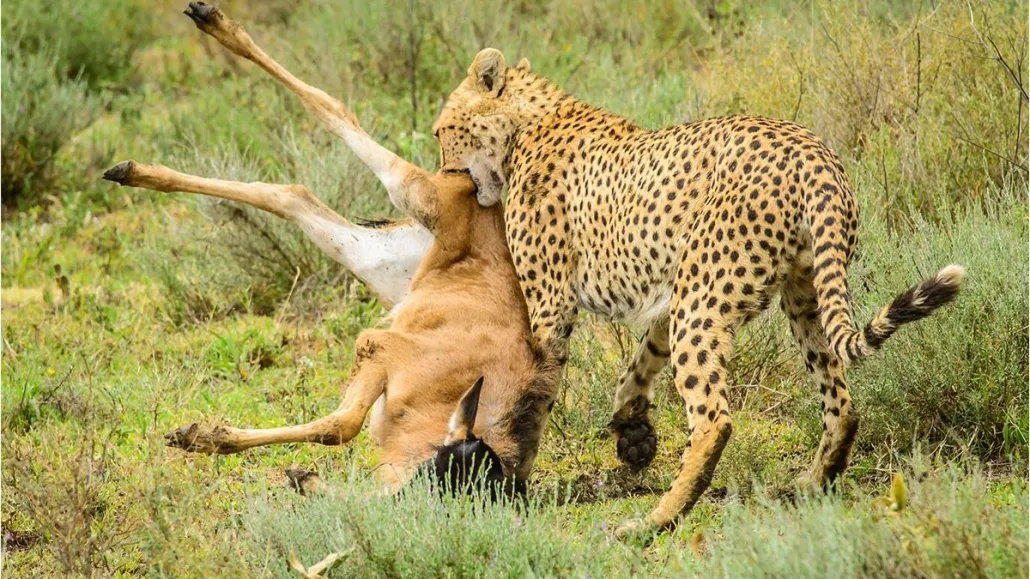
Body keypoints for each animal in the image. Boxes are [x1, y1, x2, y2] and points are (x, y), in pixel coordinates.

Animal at [103, 3, 556, 490]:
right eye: (442, 466)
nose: (396, 498)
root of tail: (473, 186)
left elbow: (340, 425)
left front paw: (209, 439)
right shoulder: (378, 345)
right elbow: (340, 424)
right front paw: (204, 435)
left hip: (373, 260)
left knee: (291, 194)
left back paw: (135, 169)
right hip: (414, 193)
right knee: (334, 108)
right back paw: (208, 27)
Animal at [430, 49, 959, 535]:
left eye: (439, 132)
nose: (443, 175)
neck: (526, 124)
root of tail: (811, 149)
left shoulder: (552, 304)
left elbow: (531, 389)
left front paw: (512, 469)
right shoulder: (667, 296)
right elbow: (639, 361)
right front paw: (633, 431)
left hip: (705, 297)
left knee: (714, 420)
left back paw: (656, 519)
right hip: (799, 295)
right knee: (841, 402)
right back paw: (812, 482)